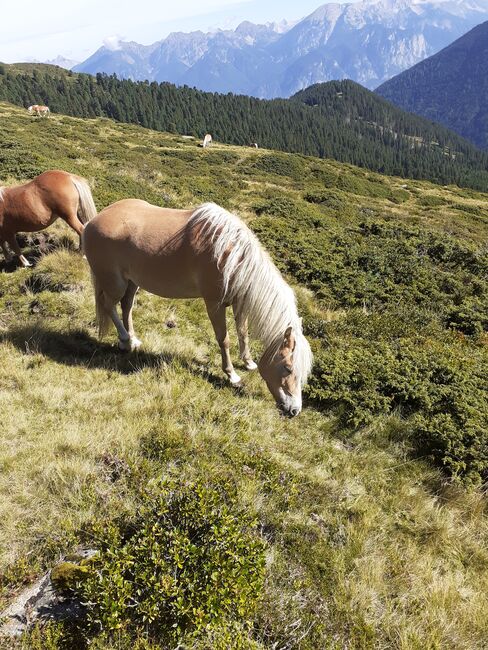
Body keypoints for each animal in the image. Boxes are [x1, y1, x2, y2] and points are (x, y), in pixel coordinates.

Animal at [83, 199, 312, 416]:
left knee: (126, 305)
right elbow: (224, 339)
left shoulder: (239, 301)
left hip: (132, 282)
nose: (294, 410)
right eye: (288, 368)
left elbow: (243, 333)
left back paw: (133, 339)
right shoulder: (214, 304)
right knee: (109, 305)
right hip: (115, 283)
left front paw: (248, 362)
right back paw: (124, 341)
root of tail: (92, 222)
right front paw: (232, 375)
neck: (231, 256)